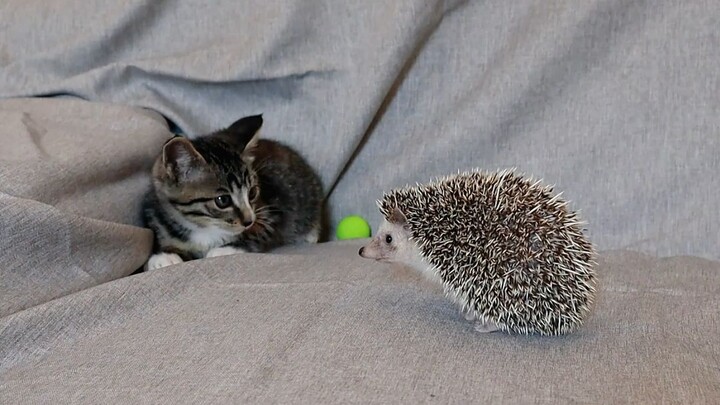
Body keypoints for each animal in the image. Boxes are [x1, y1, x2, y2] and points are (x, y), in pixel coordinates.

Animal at [143, 113, 324, 270]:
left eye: (252, 193)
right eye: (223, 200)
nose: (249, 221)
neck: (204, 227)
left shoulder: (272, 212)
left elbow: (260, 233)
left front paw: (224, 249)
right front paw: (164, 256)